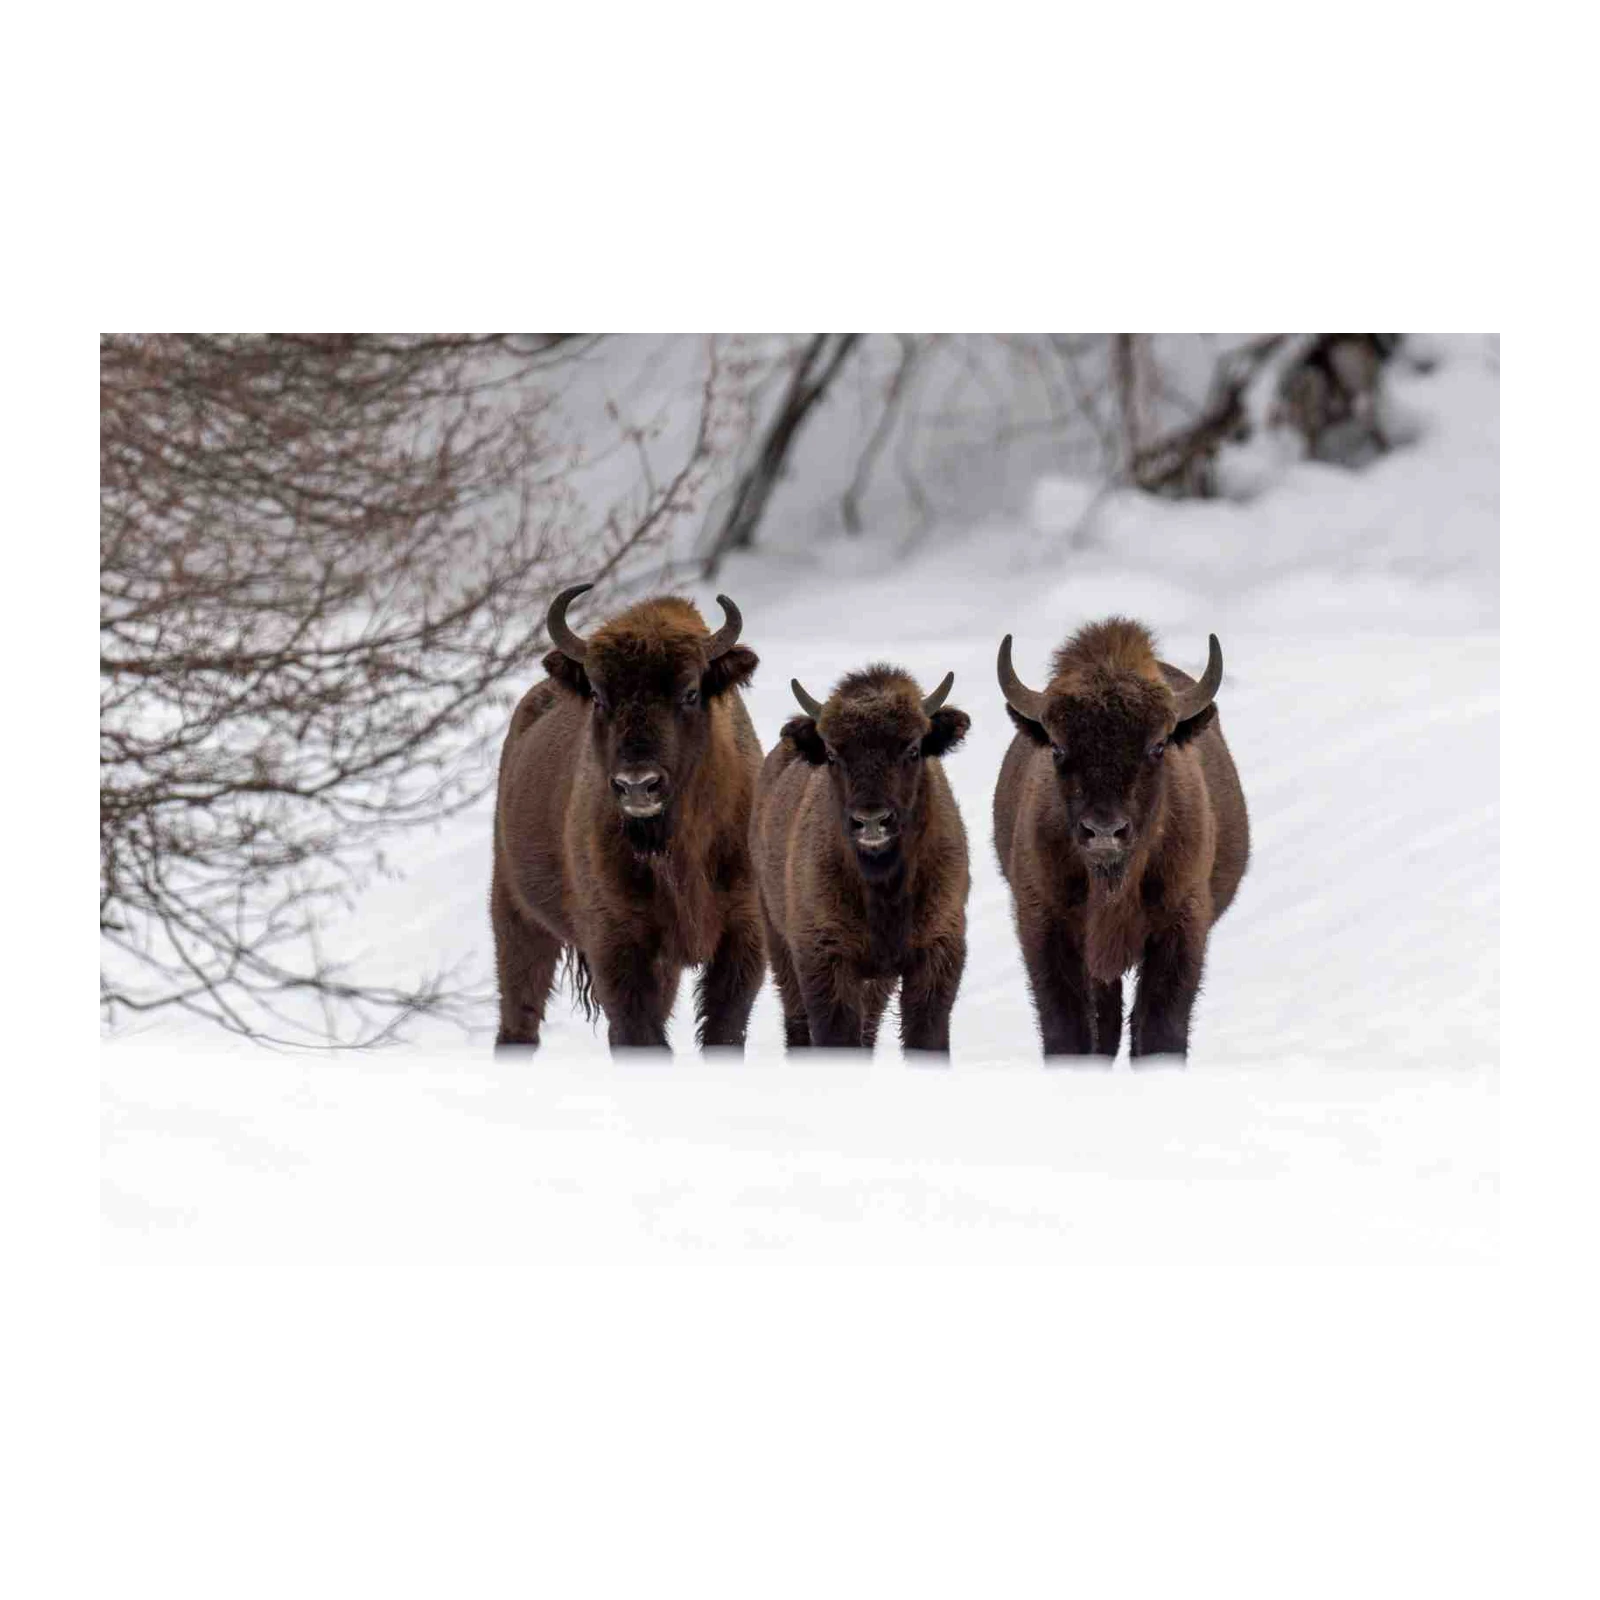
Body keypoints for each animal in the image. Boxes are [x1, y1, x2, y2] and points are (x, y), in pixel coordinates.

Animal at [491, 584, 765, 1051]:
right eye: (600, 696)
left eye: (690, 692)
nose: (638, 784)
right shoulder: (617, 943)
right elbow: (638, 1034)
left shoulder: (742, 934)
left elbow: (723, 1031)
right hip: (517, 916)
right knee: (519, 1020)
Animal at [753, 665, 971, 1051]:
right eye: (832, 753)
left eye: (913, 748)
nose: (871, 820)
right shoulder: (825, 961)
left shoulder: (936, 954)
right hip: (778, 943)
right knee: (797, 1023)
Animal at [992, 618, 1248, 1060]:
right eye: (1057, 747)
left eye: (1158, 746)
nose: (1104, 831)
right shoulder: (1046, 925)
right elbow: (1069, 1030)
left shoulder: (1181, 925)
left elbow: (1160, 1028)